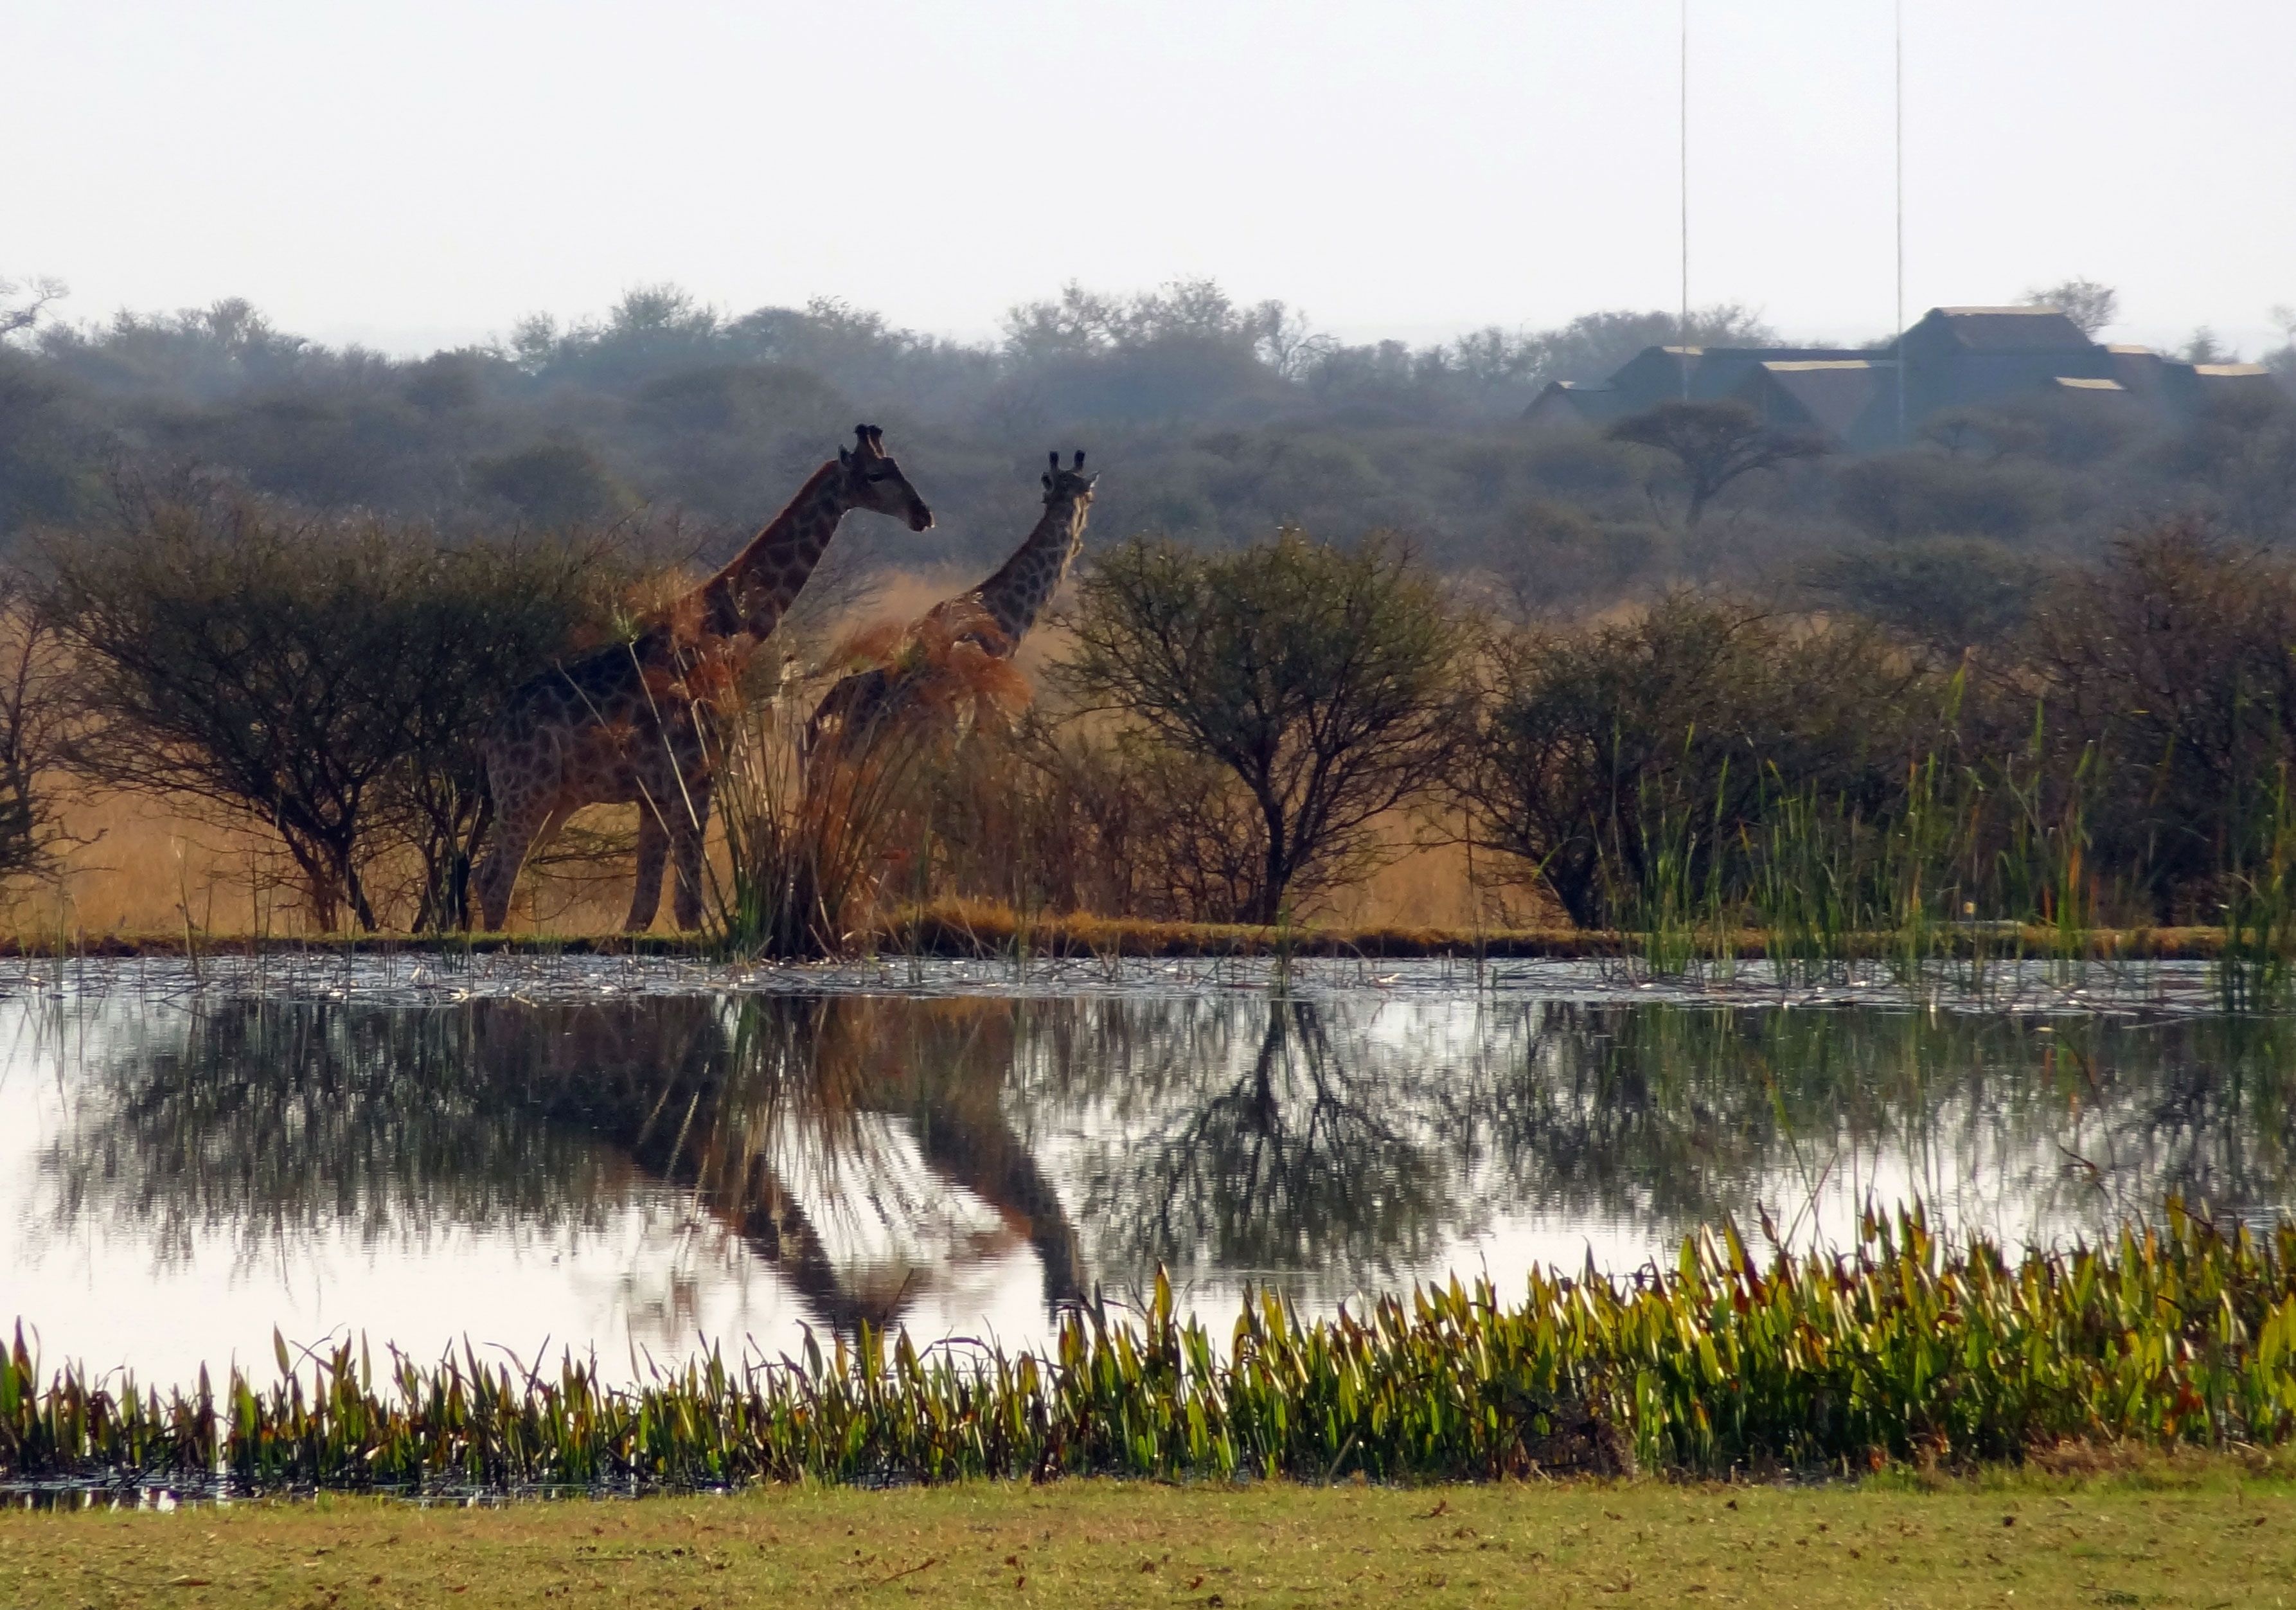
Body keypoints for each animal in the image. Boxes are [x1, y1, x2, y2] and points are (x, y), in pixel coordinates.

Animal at [471, 425, 933, 933]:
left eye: (897, 467)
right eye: (875, 475)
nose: (923, 515)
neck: (725, 634)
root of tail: (490, 735)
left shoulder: (655, 792)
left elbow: (644, 908)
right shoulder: (697, 773)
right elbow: (687, 905)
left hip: (556, 798)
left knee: (486, 874)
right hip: (527, 791)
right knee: (495, 882)